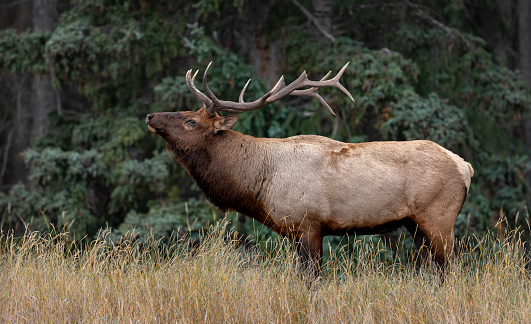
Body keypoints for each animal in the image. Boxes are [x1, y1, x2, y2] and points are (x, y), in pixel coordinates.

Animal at [144, 62, 474, 278]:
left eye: (191, 121)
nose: (150, 115)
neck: (259, 183)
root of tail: (466, 166)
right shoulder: (295, 232)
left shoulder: (309, 223)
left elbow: (311, 279)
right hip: (414, 225)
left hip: (438, 217)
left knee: (454, 269)